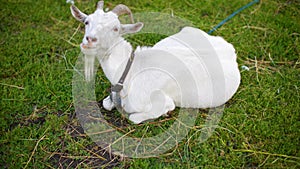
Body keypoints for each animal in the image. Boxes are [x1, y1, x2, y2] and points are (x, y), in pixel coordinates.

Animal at [70, 0, 241, 123]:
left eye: (115, 28)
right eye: (87, 22)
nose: (90, 40)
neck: (130, 71)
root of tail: (228, 48)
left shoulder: (161, 101)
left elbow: (134, 117)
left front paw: (165, 113)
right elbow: (107, 103)